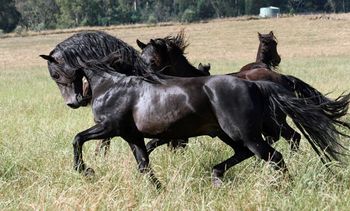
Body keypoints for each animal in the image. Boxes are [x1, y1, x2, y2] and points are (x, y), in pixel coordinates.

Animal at [39, 51, 348, 188]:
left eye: (57, 73)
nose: (74, 102)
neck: (111, 85)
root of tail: (257, 83)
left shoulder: (109, 128)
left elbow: (78, 139)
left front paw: (85, 170)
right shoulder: (132, 135)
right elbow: (143, 163)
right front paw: (158, 189)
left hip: (245, 133)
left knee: (274, 156)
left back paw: (281, 186)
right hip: (227, 133)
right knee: (248, 154)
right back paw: (217, 175)